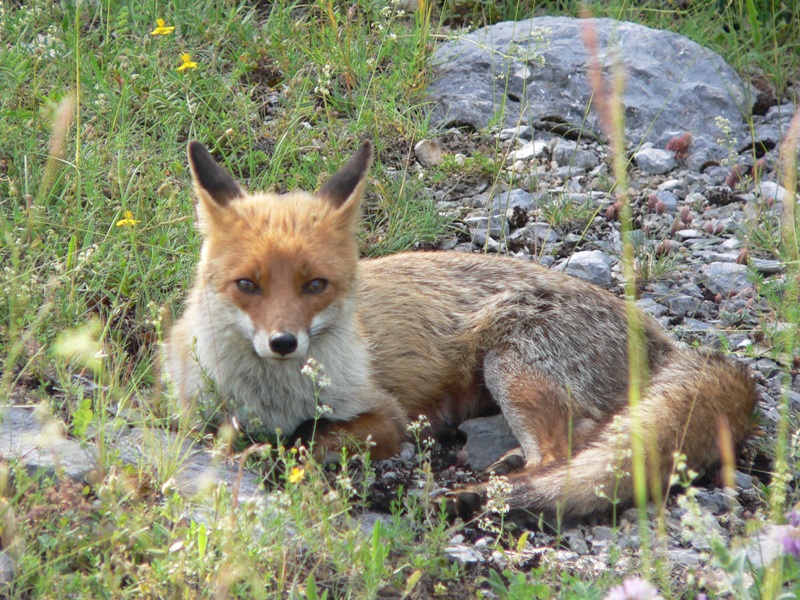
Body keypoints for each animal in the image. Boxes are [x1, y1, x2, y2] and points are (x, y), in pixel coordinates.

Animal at [166, 139, 760, 520]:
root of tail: (665, 338)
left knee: (566, 454)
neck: (269, 397)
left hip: (514, 366)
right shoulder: (190, 413)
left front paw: (264, 454)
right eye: (248, 285)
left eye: (315, 285)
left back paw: (479, 495)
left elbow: (303, 438)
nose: (283, 343)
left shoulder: (386, 419)